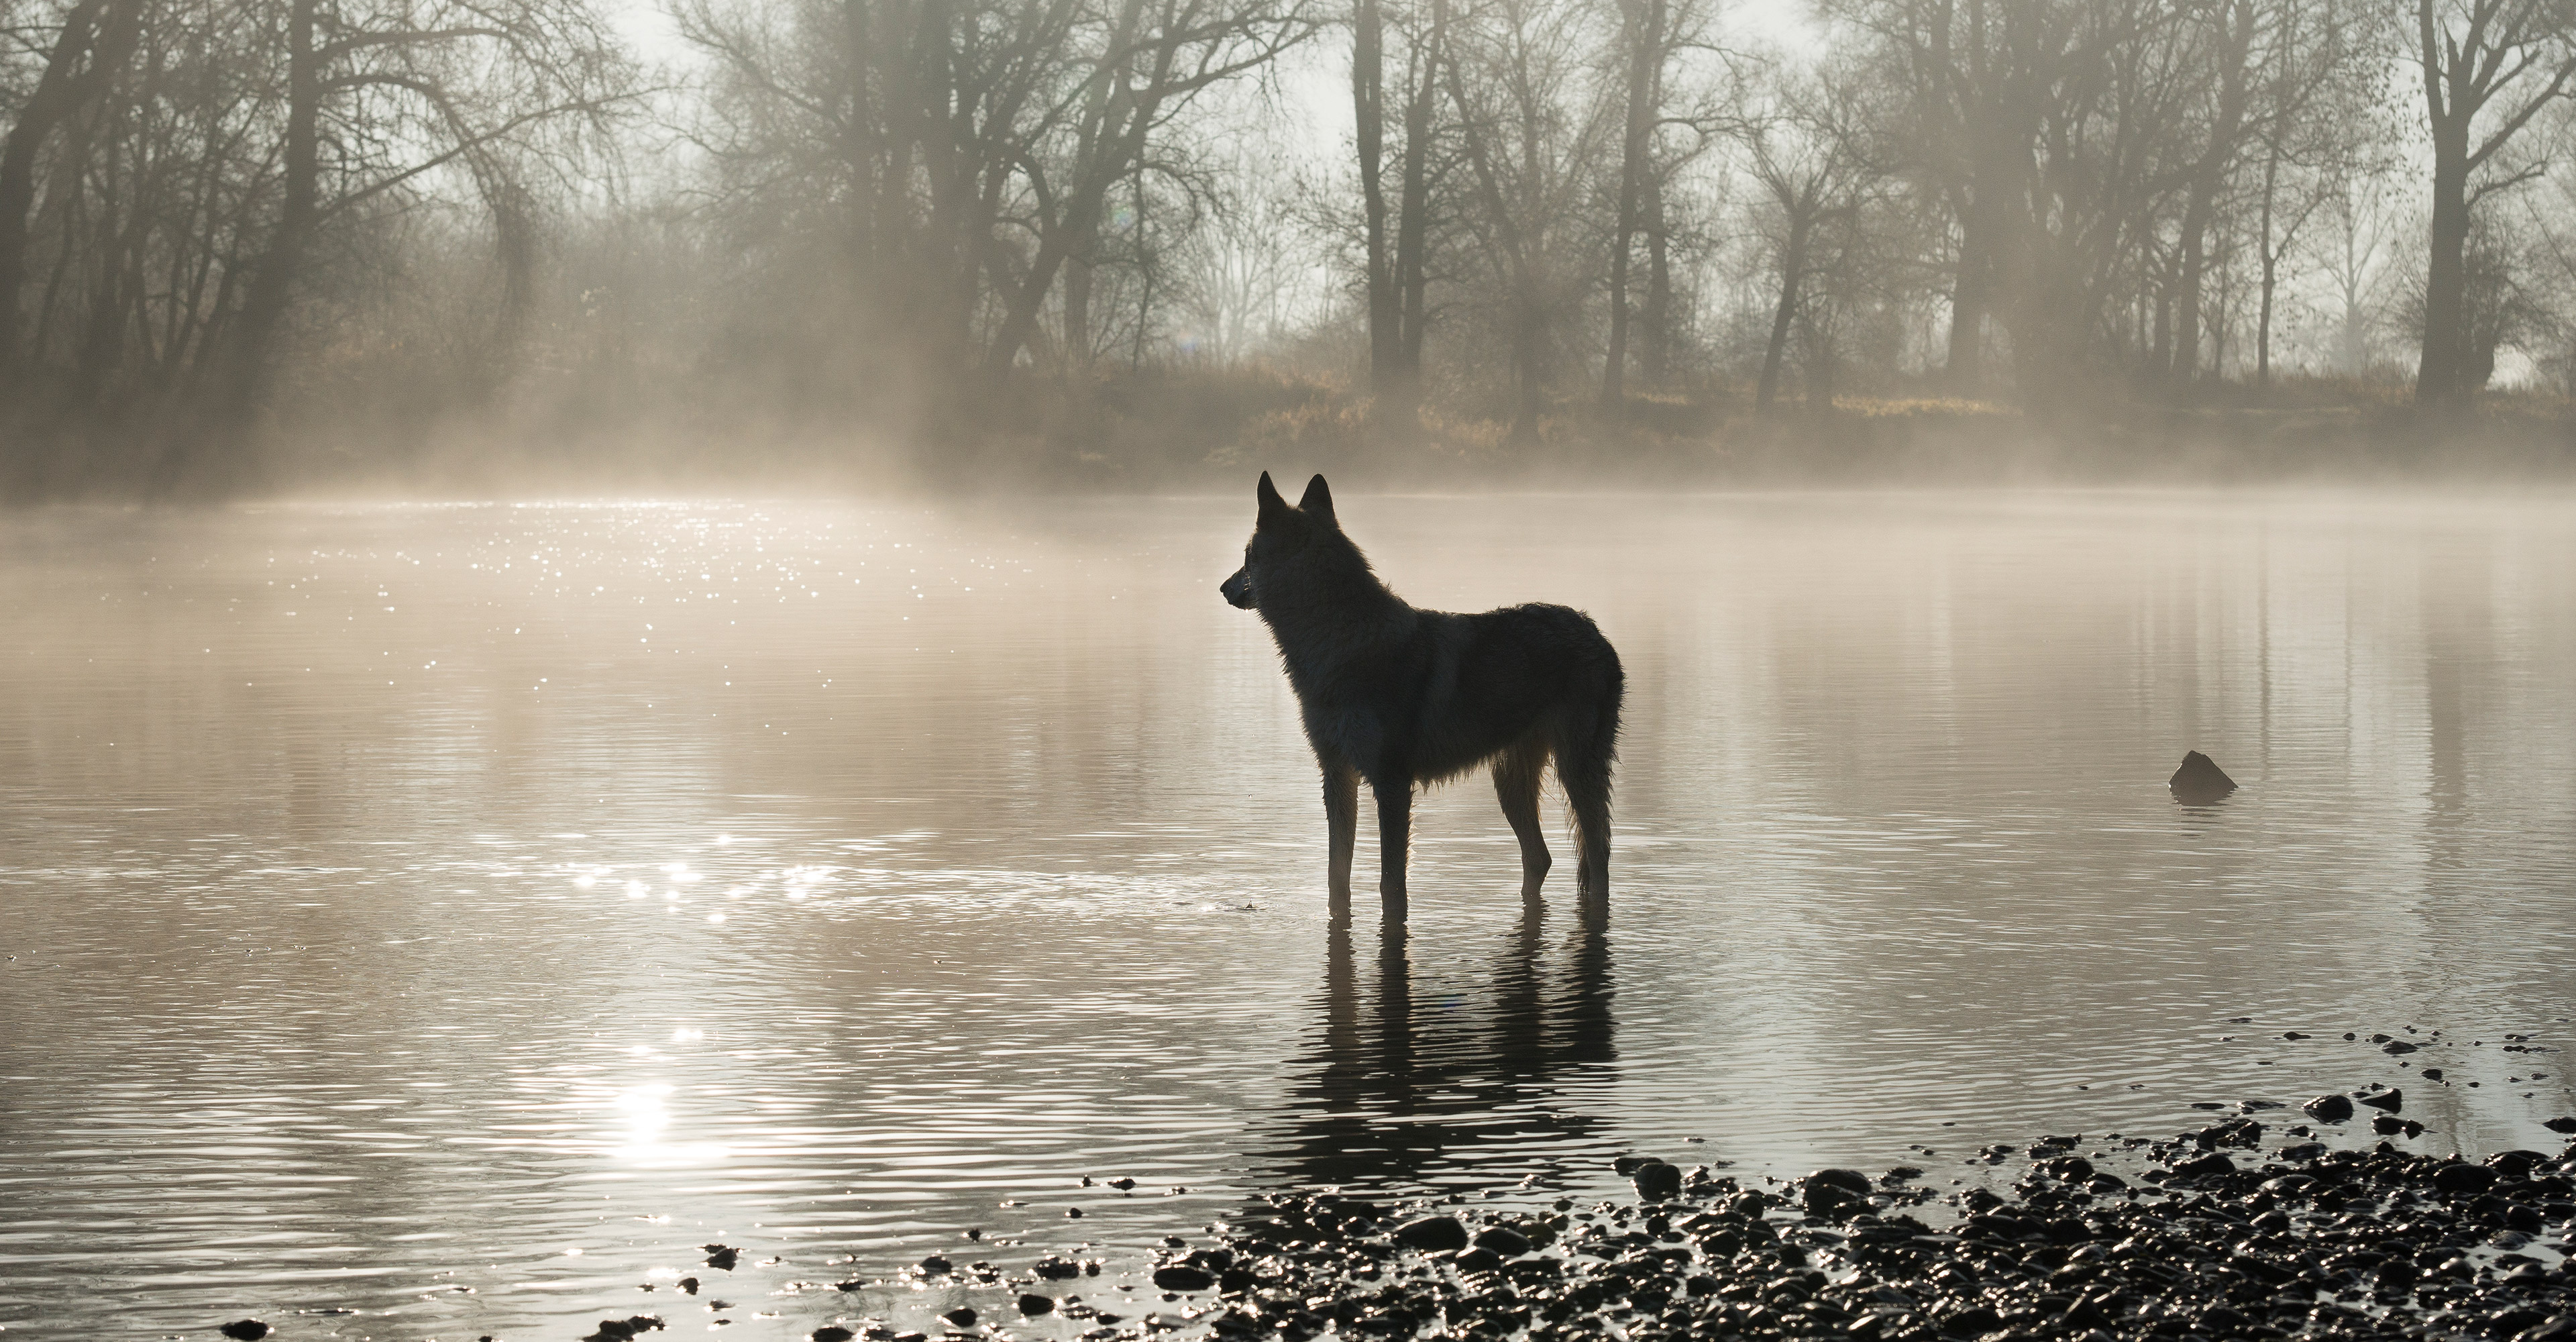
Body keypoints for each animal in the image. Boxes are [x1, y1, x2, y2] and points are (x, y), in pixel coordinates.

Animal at [1216, 474, 1617, 911]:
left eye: (1246, 556)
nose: (1222, 588)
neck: (1341, 648)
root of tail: (1594, 630)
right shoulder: (1337, 776)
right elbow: (1336, 877)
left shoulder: (1391, 784)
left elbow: (1391, 885)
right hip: (1510, 785)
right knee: (1540, 857)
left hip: (1574, 773)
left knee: (1599, 856)